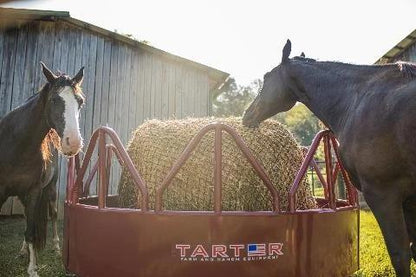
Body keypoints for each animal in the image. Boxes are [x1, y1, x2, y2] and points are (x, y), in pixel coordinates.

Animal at [0, 62, 84, 276]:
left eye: (80, 102)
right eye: (54, 99)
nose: (73, 143)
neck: (16, 144)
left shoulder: (34, 192)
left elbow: (31, 231)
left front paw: (32, 269)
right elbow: (28, 227)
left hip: (50, 190)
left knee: (51, 215)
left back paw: (55, 246)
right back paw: (23, 251)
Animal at [242, 39, 416, 276]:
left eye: (267, 77)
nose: (246, 114)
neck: (355, 102)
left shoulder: (383, 194)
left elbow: (400, 255)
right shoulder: (408, 198)